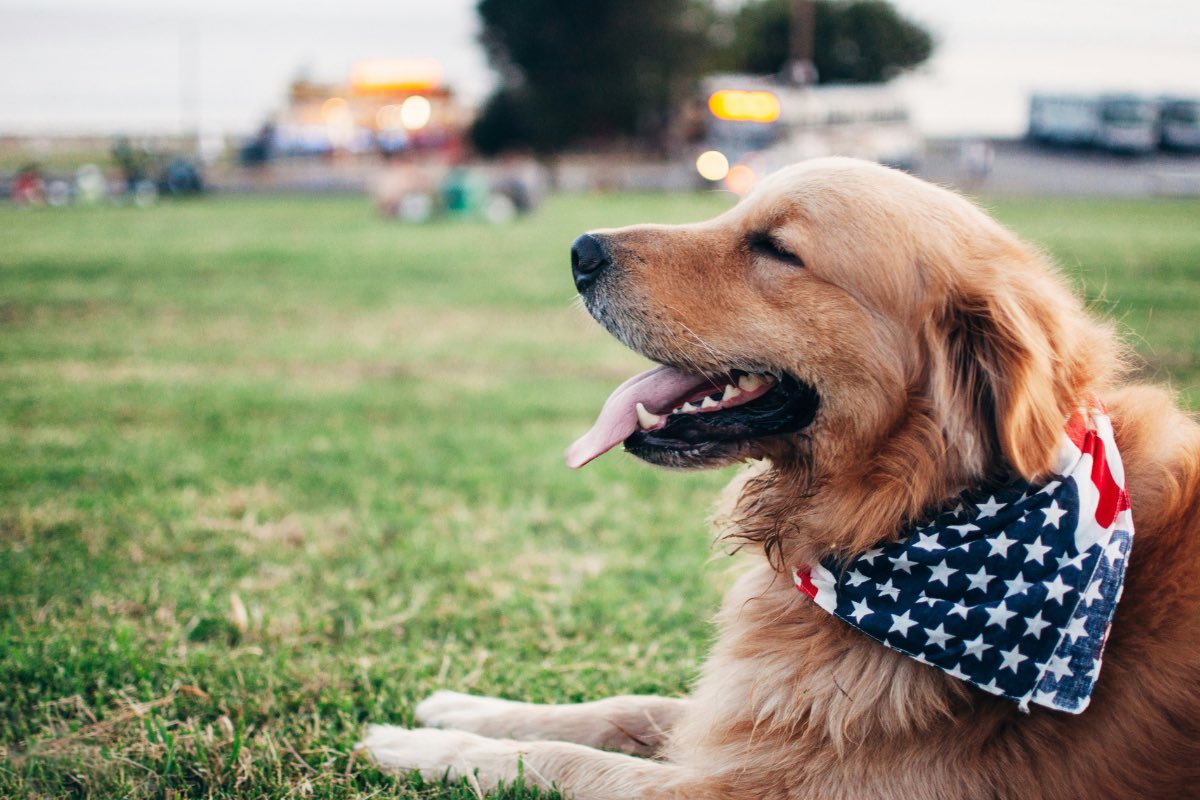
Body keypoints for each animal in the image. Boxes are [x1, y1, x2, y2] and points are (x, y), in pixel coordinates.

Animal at [362, 158, 1200, 800]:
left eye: (775, 248)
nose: (579, 250)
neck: (905, 513)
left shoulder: (744, 787)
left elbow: (557, 760)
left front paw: (414, 747)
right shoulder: (747, 718)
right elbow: (617, 708)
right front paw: (459, 707)